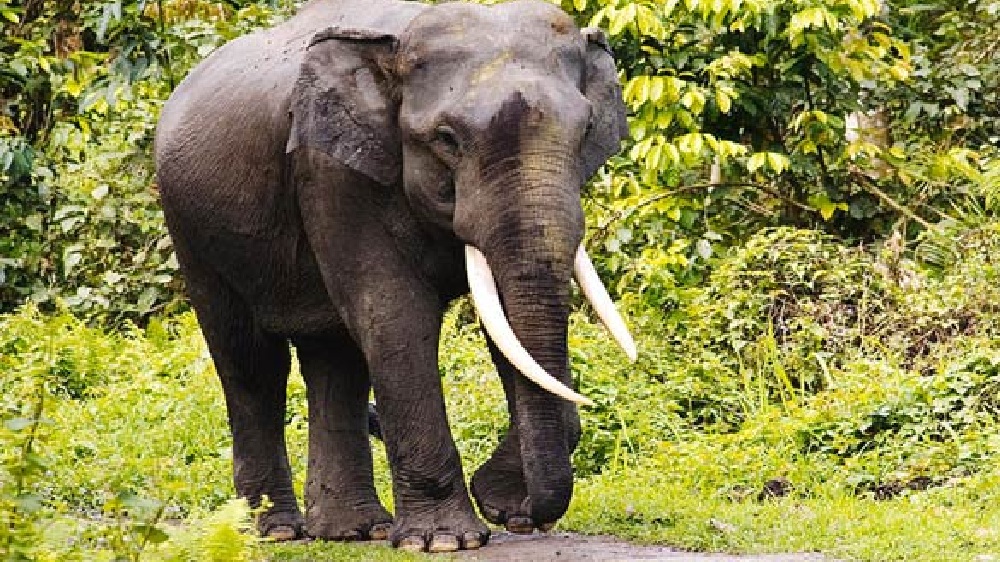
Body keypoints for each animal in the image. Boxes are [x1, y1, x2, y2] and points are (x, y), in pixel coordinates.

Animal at [154, 0, 636, 553]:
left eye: (585, 133)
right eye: (447, 140)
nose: (524, 515)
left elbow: (506, 332)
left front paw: (499, 504)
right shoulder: (333, 172)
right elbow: (394, 314)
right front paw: (444, 541)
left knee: (334, 359)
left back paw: (353, 530)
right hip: (191, 228)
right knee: (252, 362)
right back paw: (276, 530)